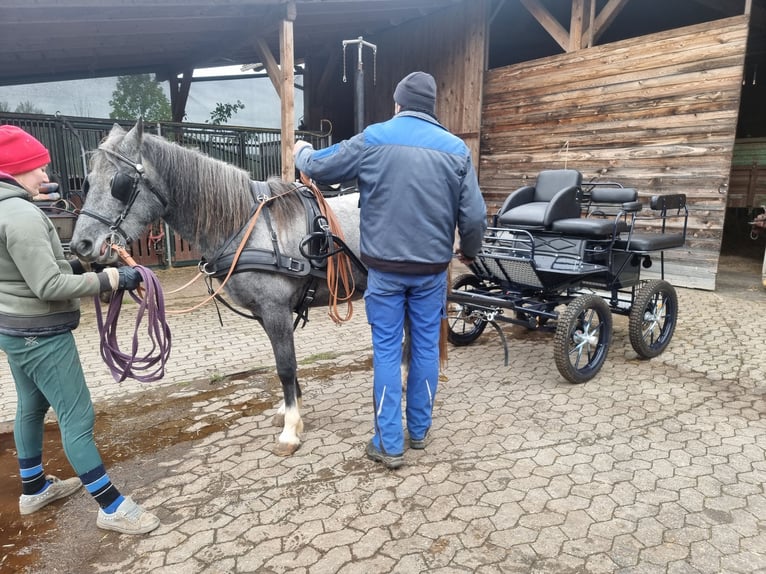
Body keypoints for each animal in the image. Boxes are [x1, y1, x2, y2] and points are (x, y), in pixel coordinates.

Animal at [69, 119, 366, 456]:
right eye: (87, 182)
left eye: (120, 184)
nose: (81, 245)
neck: (247, 225)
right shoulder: (265, 314)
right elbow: (283, 362)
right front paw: (290, 411)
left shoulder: (276, 310)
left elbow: (286, 366)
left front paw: (291, 431)